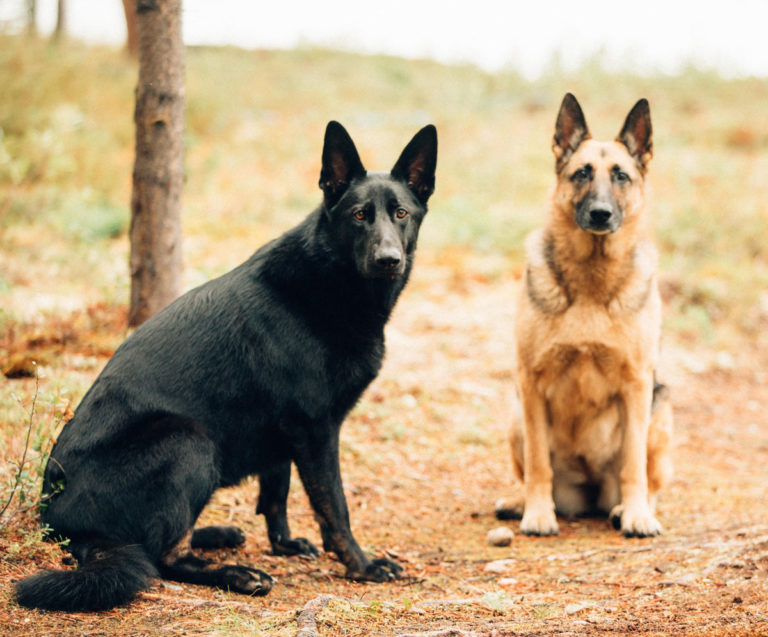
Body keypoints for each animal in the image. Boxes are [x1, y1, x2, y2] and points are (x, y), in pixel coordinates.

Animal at [15, 119, 438, 612]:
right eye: (358, 216)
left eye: (401, 213)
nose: (389, 260)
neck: (330, 281)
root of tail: (55, 520)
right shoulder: (316, 429)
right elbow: (334, 507)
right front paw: (362, 566)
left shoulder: (286, 432)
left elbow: (276, 492)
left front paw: (284, 544)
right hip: (190, 441)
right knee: (164, 556)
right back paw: (237, 574)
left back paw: (218, 535)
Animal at [498, 93, 672, 536]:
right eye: (582, 174)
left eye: (621, 176)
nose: (600, 214)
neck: (592, 282)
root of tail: (590, 490)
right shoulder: (531, 383)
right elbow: (538, 465)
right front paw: (538, 514)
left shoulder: (637, 384)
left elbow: (633, 466)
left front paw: (637, 515)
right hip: (516, 417)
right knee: (529, 471)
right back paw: (519, 501)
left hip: (659, 414)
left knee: (648, 480)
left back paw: (632, 509)